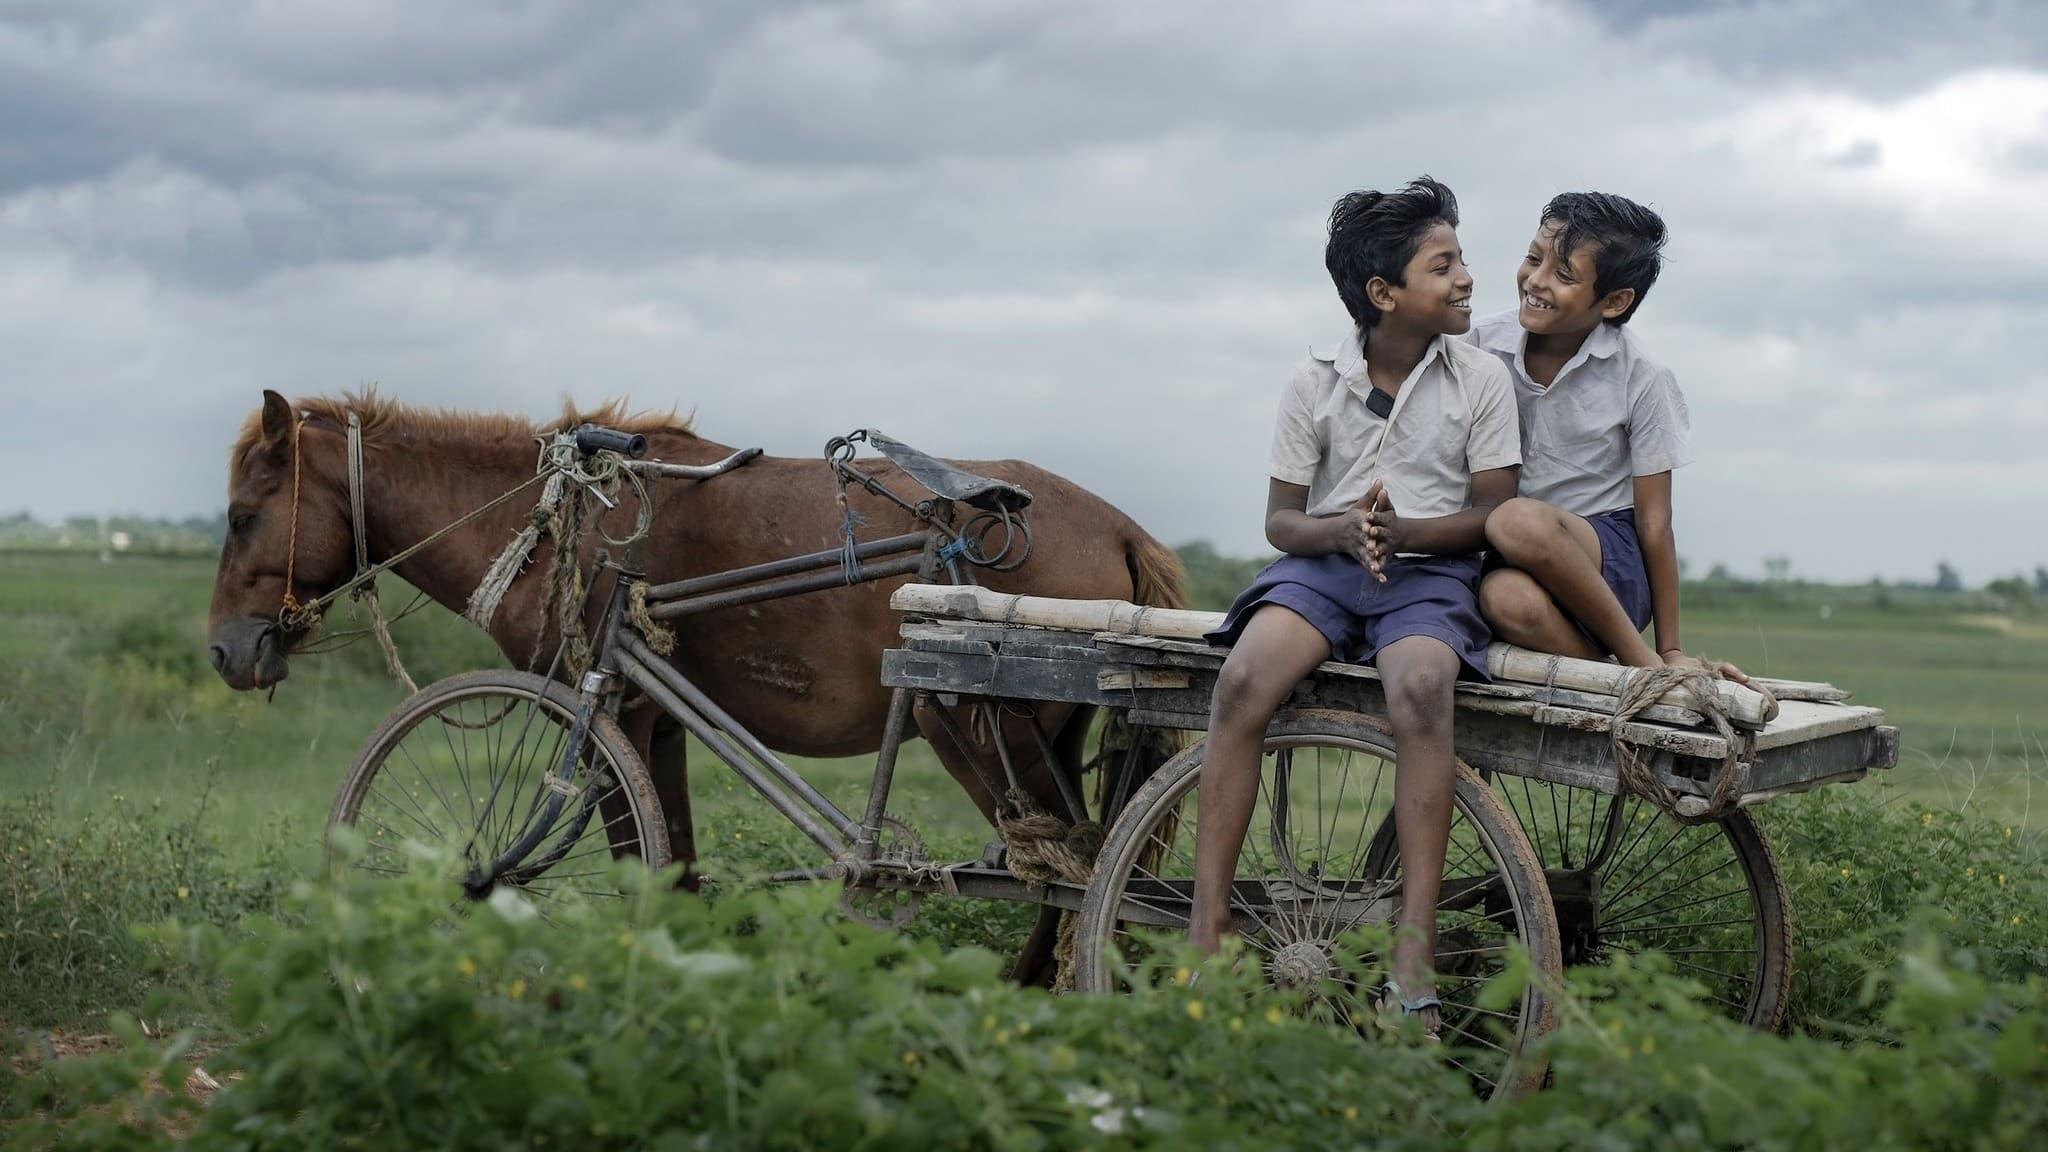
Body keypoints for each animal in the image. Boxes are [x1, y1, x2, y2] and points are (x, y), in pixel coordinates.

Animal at [203, 389, 1187, 971]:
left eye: (244, 515)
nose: (224, 653)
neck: (574, 537)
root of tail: (1122, 527)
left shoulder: (607, 714)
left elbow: (618, 856)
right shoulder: (653, 718)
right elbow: (672, 867)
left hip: (985, 732)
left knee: (1073, 882)